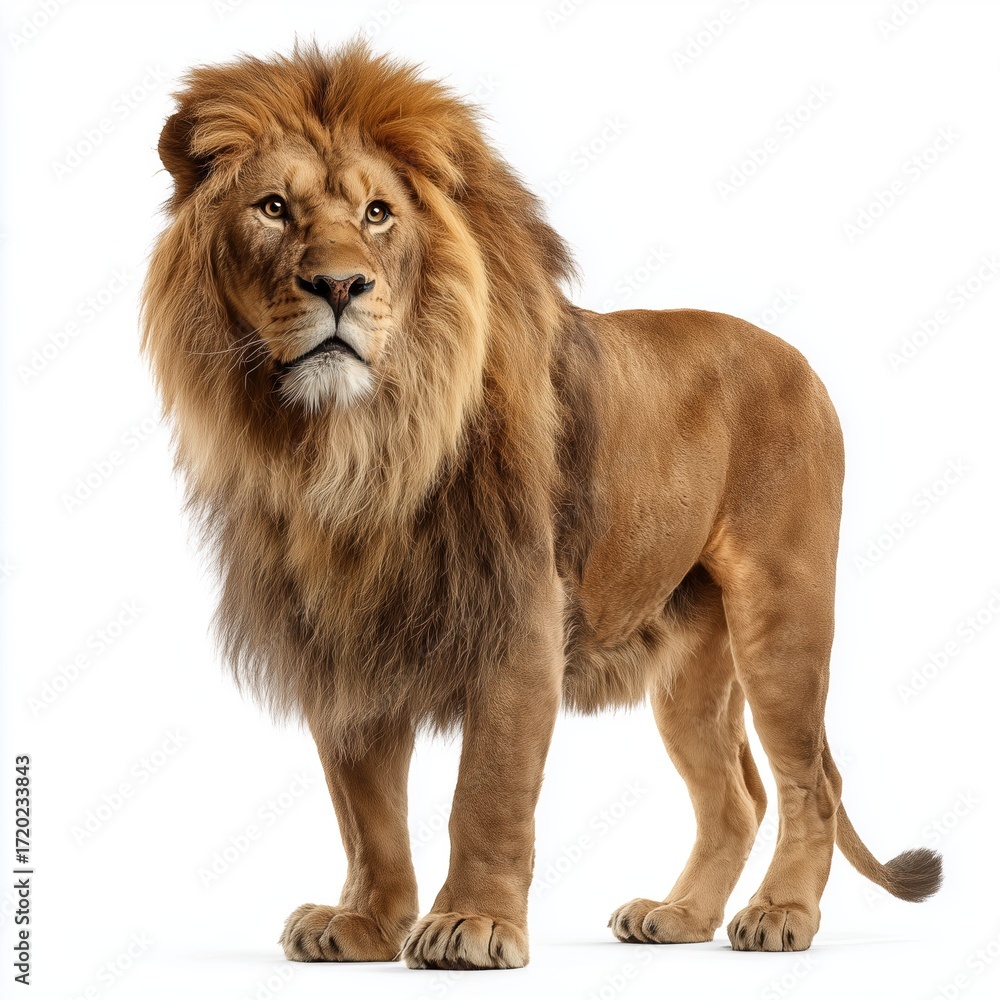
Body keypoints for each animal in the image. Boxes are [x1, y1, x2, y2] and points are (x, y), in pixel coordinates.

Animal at [141, 42, 942, 969]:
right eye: (273, 208)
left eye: (379, 213)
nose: (339, 285)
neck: (359, 448)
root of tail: (800, 360)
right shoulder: (347, 639)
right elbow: (365, 810)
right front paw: (366, 923)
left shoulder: (519, 616)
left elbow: (487, 790)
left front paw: (472, 924)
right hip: (690, 664)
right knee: (738, 795)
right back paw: (677, 916)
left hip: (783, 615)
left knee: (810, 782)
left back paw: (782, 915)